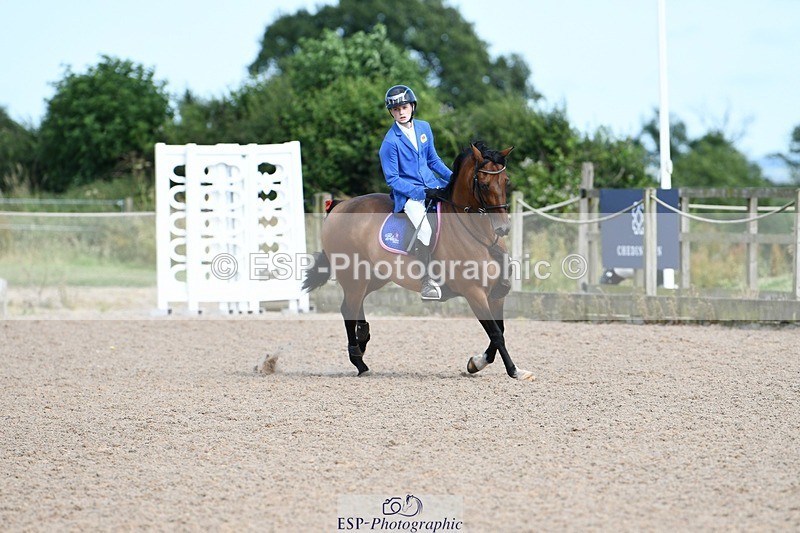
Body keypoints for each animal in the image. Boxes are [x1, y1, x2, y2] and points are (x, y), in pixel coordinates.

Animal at [302, 141, 535, 381]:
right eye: (485, 184)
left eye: (506, 181)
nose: (503, 228)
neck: (480, 235)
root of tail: (339, 205)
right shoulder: (474, 293)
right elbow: (496, 334)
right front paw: (513, 370)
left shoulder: (497, 295)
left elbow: (499, 332)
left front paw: (476, 363)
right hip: (353, 277)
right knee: (349, 309)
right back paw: (359, 361)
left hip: (372, 277)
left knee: (353, 307)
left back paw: (362, 340)